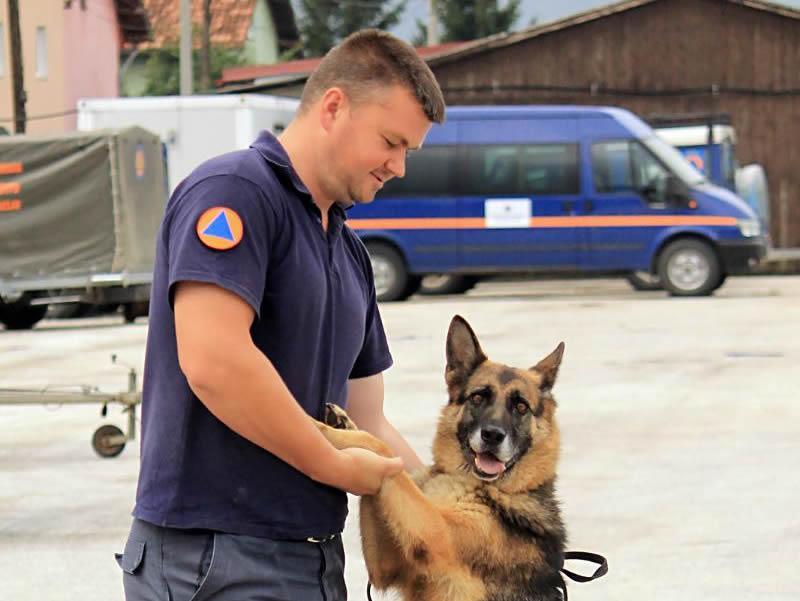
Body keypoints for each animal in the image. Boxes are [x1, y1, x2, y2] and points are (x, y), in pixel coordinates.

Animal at [316, 314, 572, 600]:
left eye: (520, 407)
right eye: (478, 397)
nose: (492, 435)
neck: (478, 486)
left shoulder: (435, 531)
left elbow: (383, 449)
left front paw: (325, 431)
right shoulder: (384, 567)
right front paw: (342, 425)